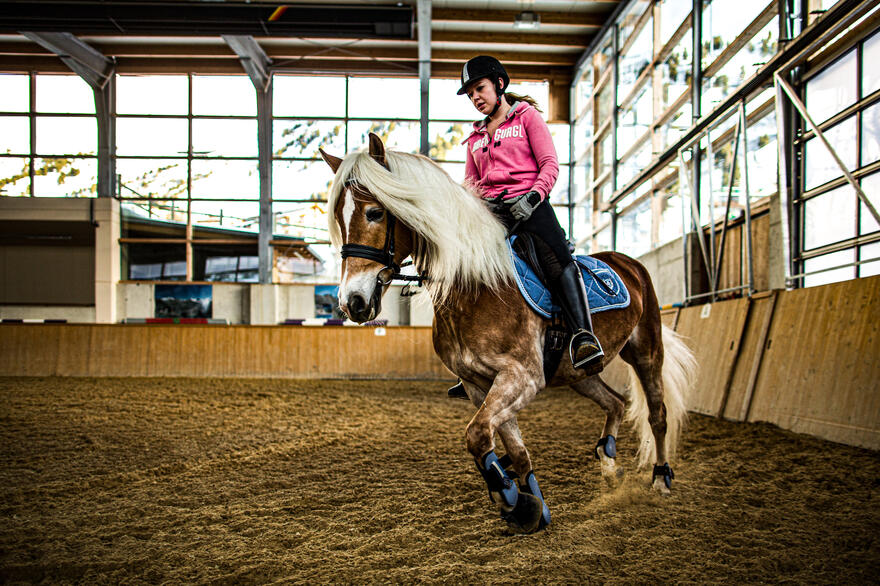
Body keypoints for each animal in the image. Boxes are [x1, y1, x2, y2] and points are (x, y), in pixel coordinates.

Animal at [320, 133, 696, 532]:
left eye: (375, 212)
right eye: (339, 220)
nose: (353, 302)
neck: (476, 286)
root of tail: (629, 263)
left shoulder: (521, 377)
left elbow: (477, 435)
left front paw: (511, 496)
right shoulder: (479, 385)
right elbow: (511, 448)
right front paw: (531, 504)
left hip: (646, 351)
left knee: (657, 414)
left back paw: (660, 478)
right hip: (578, 373)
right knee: (616, 402)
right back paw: (609, 463)